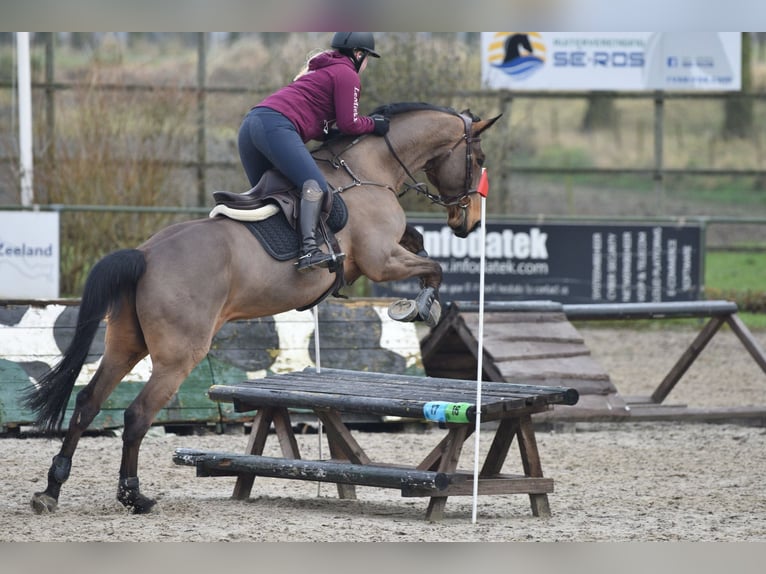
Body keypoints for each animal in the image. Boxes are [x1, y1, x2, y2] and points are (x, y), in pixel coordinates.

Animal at [21, 101, 504, 516]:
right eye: (479, 157)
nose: (469, 224)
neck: (369, 170)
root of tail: (144, 255)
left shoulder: (387, 252)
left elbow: (421, 246)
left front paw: (422, 301)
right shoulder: (379, 259)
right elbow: (433, 267)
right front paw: (419, 308)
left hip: (126, 343)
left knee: (87, 402)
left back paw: (51, 490)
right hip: (177, 356)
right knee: (137, 416)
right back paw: (132, 496)